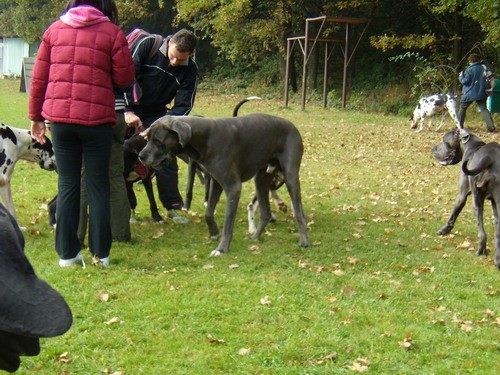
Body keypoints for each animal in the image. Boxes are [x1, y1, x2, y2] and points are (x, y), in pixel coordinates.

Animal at [138, 113, 308, 258]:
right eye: (147, 139)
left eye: (158, 141)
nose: (140, 156)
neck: (205, 138)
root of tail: (291, 125)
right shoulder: (216, 182)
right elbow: (208, 213)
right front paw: (214, 233)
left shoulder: (233, 187)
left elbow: (227, 223)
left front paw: (221, 249)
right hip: (261, 180)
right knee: (265, 213)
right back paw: (255, 236)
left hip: (290, 177)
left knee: (299, 212)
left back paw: (304, 242)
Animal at [432, 130, 500, 270]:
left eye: (445, 141)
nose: (433, 148)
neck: (472, 145)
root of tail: (490, 158)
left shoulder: (462, 194)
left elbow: (453, 214)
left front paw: (444, 230)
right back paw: (497, 260)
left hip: (476, 200)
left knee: (482, 232)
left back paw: (480, 250)